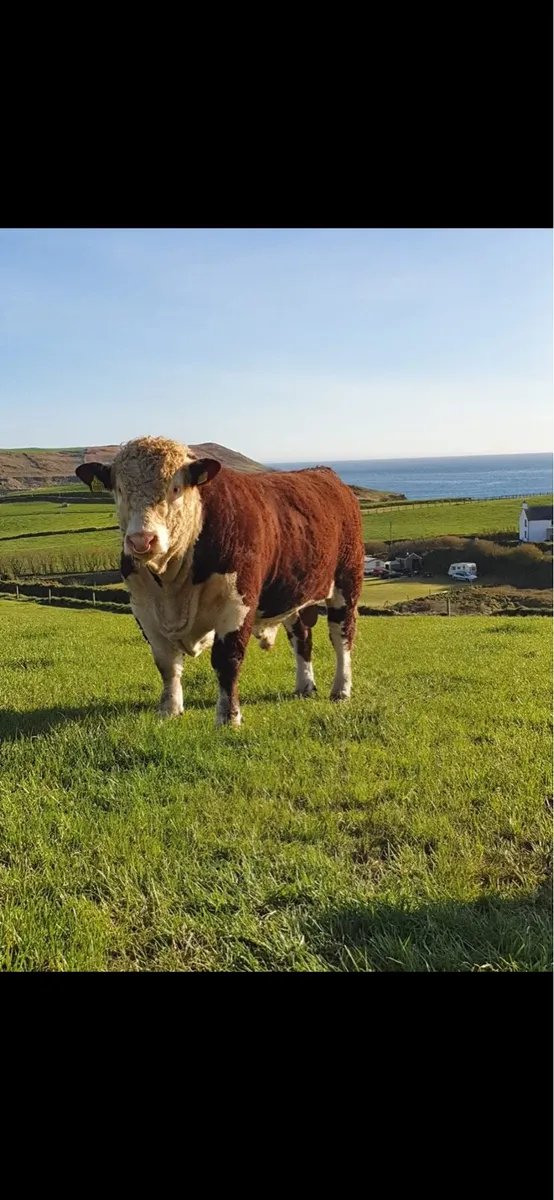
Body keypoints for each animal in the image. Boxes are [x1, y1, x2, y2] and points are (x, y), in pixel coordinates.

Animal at [76, 437, 364, 727]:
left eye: (175, 488)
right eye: (119, 490)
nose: (141, 540)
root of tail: (324, 472)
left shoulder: (237, 603)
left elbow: (227, 660)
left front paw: (228, 717)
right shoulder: (143, 609)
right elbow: (166, 662)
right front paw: (169, 710)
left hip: (347, 581)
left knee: (341, 635)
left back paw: (341, 690)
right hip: (294, 592)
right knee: (301, 636)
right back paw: (305, 687)